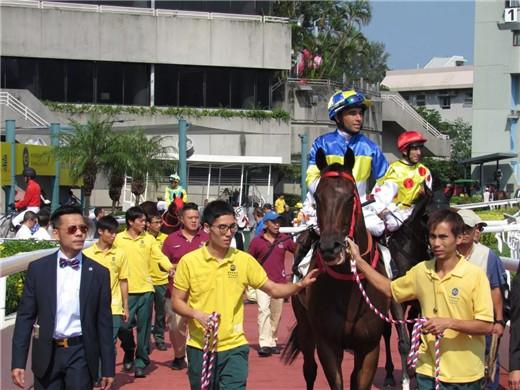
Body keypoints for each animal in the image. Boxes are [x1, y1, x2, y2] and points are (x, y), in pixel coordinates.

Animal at [284, 147, 390, 390]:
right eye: (317, 199)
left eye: (351, 197)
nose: (330, 248)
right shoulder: (328, 344)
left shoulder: (370, 347)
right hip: (304, 323)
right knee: (309, 369)